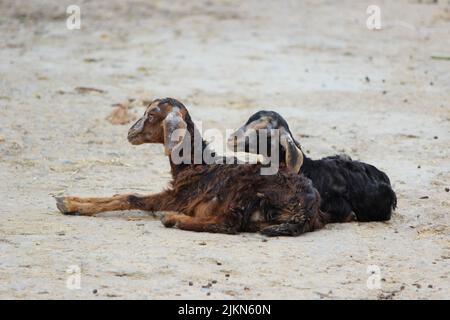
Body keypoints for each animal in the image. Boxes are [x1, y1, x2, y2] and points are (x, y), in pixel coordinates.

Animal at [55, 99, 330, 236]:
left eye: (151, 114)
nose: (130, 132)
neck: (199, 163)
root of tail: (308, 208)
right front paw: (66, 199)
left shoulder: (178, 197)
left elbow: (129, 196)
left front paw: (69, 204)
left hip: (245, 192)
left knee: (227, 224)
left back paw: (173, 219)